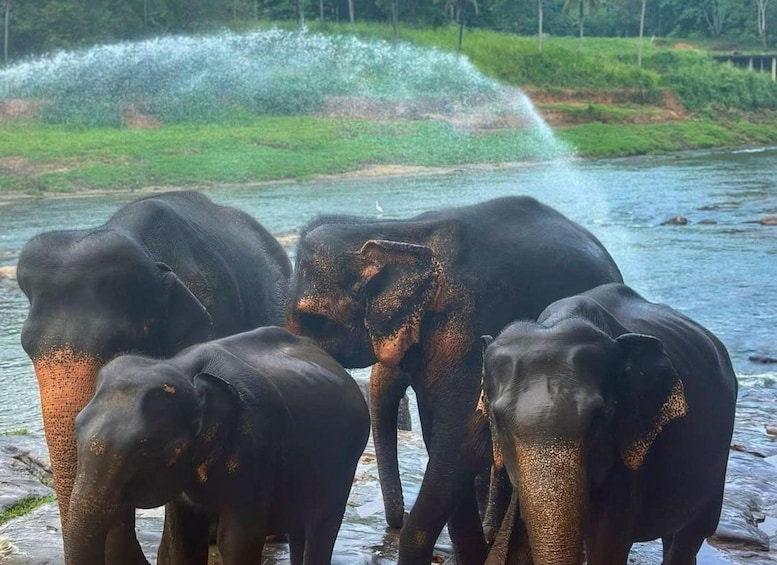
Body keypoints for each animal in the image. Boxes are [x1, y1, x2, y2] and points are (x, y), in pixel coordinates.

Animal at [64, 326, 370, 565]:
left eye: (145, 447)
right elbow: (183, 544)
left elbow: (237, 541)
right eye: (77, 426)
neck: (186, 372)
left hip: (343, 466)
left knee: (322, 527)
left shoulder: (255, 449)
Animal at [285, 196, 624, 564]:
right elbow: (440, 440)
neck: (396, 231)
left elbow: (460, 442)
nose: (397, 520)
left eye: (314, 320)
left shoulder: (469, 329)